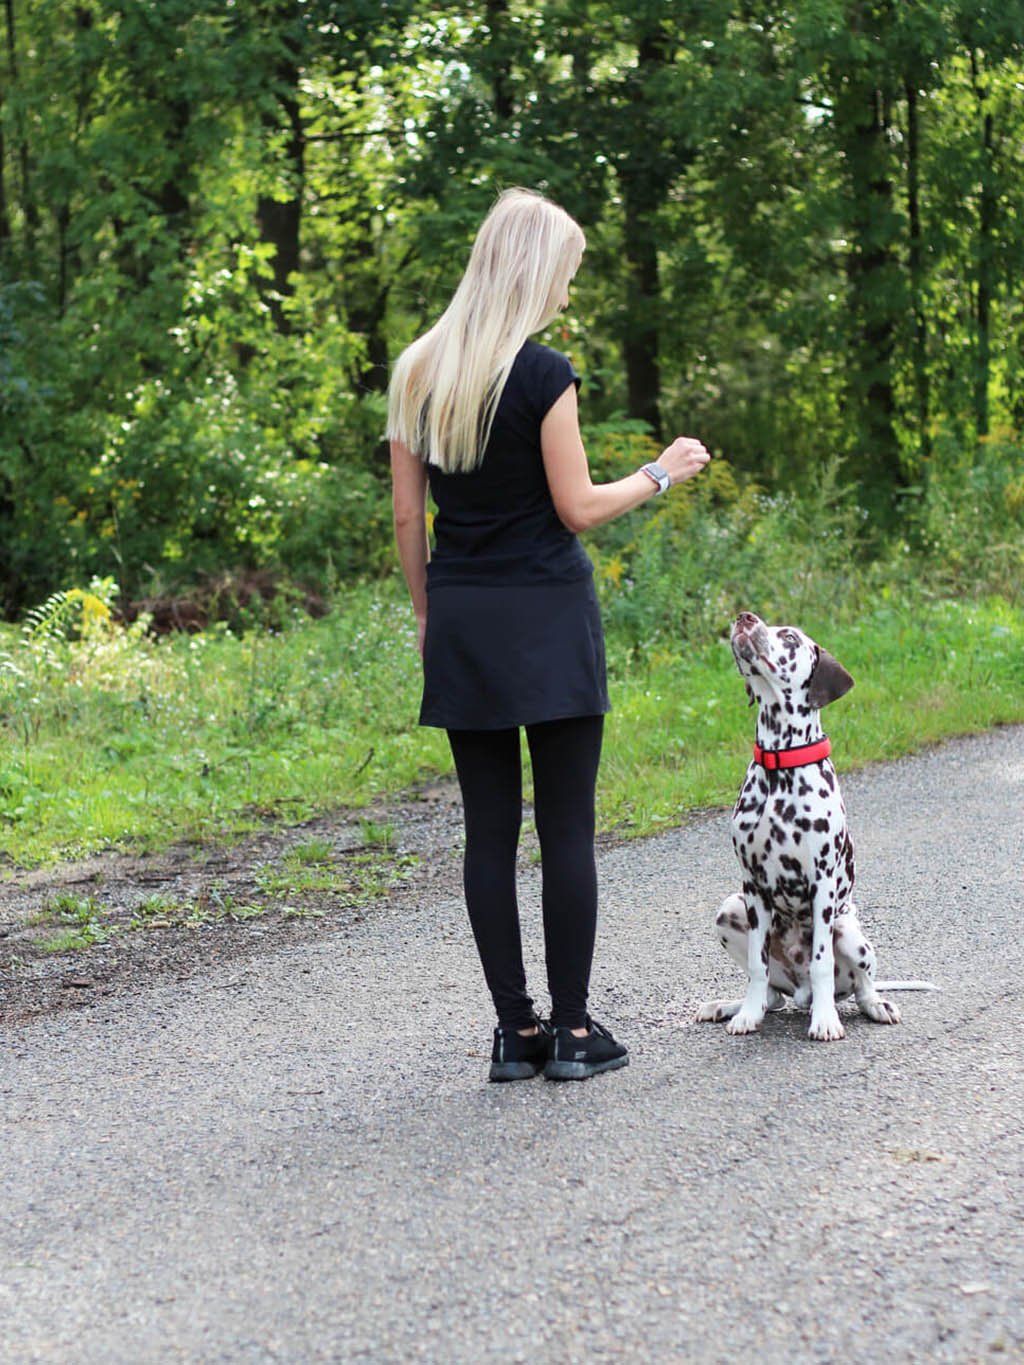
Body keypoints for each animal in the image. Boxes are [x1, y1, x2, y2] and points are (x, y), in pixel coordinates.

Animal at [699, 614, 906, 1037]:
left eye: (790, 637)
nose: (745, 617)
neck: (780, 766)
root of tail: (800, 990)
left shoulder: (822, 883)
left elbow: (822, 962)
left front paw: (825, 1020)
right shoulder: (752, 886)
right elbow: (757, 967)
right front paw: (747, 1014)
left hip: (848, 930)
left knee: (861, 985)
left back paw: (874, 1004)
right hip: (730, 908)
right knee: (771, 995)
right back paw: (732, 1005)